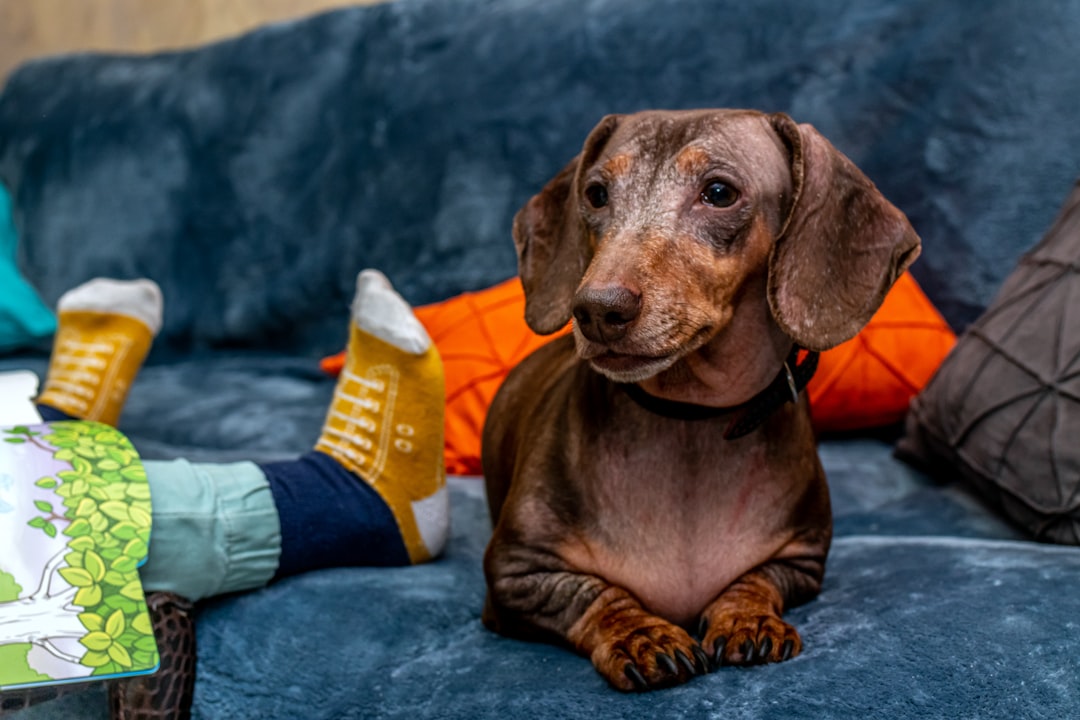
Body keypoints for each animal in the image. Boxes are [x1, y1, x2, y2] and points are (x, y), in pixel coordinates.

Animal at [481, 108, 920, 690]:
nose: (596, 309)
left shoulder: (801, 562)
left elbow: (754, 581)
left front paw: (746, 617)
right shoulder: (515, 574)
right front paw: (641, 634)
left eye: (718, 192)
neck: (690, 420)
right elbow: (594, 594)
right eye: (596, 194)